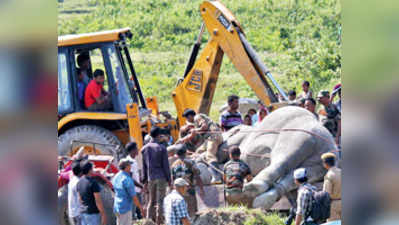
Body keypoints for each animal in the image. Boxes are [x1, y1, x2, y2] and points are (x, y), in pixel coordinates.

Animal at [191, 106, 338, 208]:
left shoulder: (232, 140)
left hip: (296, 136)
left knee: (281, 161)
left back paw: (247, 190)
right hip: (317, 165)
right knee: (291, 177)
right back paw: (260, 201)